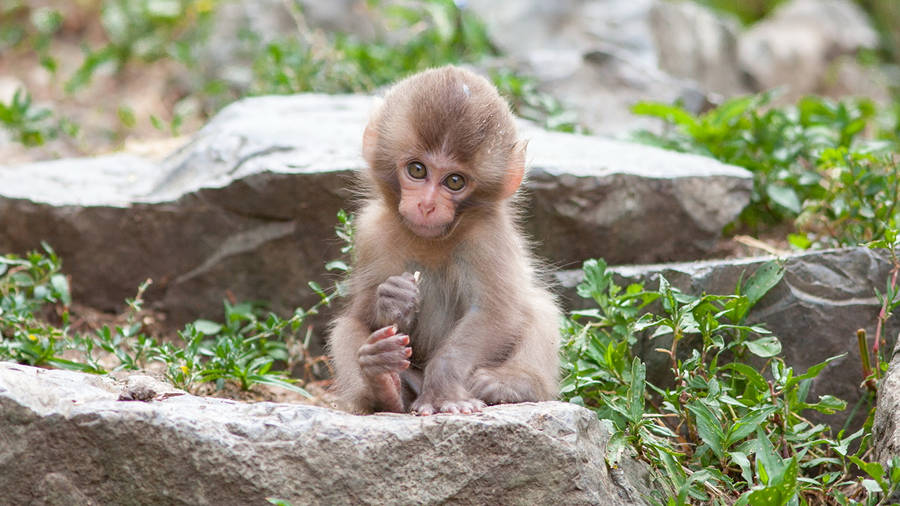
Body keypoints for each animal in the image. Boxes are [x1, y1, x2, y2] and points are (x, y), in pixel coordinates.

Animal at [327, 65, 561, 415]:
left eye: (454, 181)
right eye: (417, 170)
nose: (427, 205)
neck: (433, 240)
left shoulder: (487, 238)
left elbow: (494, 312)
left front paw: (444, 392)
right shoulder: (371, 231)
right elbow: (362, 315)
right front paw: (392, 299)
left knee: (538, 306)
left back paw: (513, 383)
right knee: (346, 327)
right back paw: (383, 385)